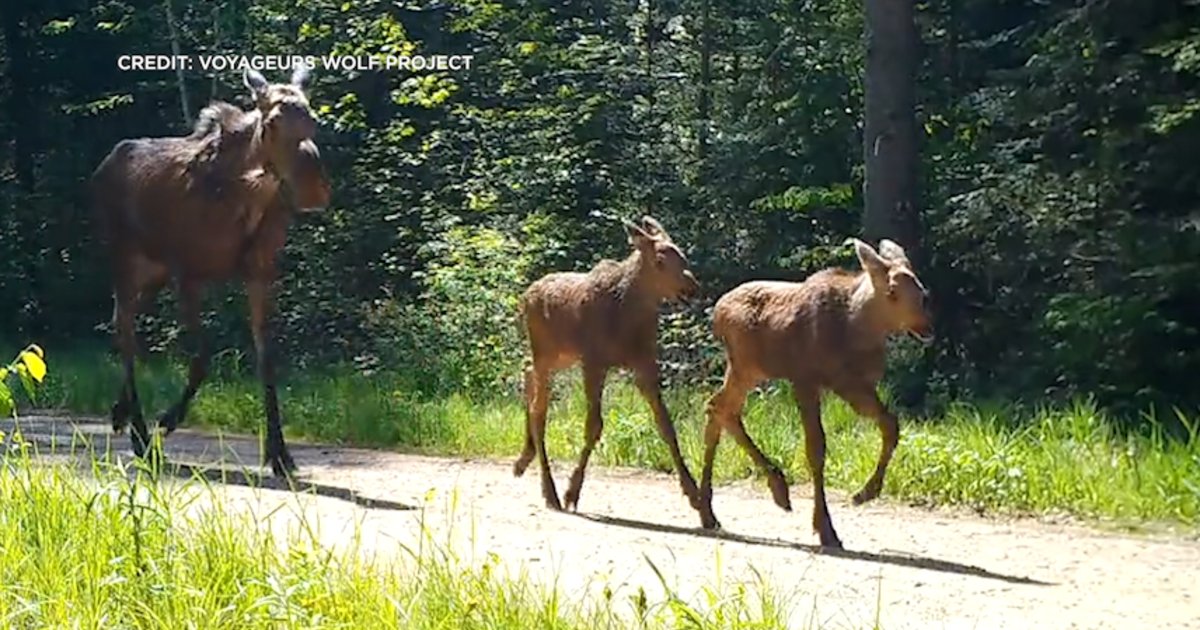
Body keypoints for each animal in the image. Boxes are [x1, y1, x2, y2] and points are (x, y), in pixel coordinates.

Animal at [90, 66, 328, 475]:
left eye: (312, 118)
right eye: (273, 120)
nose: (315, 188)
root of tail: (101, 168)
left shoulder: (260, 271)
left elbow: (266, 359)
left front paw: (280, 453)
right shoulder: (189, 273)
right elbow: (203, 356)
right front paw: (167, 420)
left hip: (154, 272)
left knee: (123, 324)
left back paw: (121, 413)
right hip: (126, 256)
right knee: (125, 331)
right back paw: (141, 436)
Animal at [700, 235, 931, 544]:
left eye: (922, 291)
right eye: (892, 291)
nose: (926, 326)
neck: (856, 330)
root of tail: (716, 312)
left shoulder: (855, 384)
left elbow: (891, 425)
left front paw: (864, 493)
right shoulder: (805, 379)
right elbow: (816, 448)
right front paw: (826, 528)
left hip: (748, 370)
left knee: (720, 408)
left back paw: (713, 510)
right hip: (745, 364)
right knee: (720, 408)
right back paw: (763, 493)